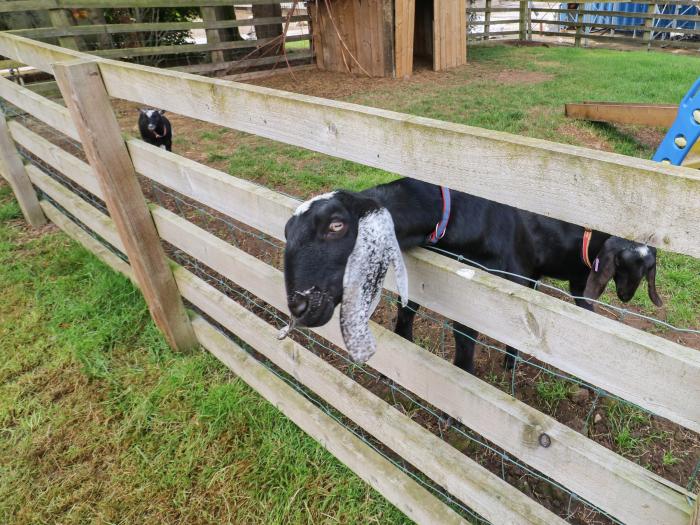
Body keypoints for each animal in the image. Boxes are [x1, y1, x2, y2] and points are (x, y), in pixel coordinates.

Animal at [280, 178, 660, 370]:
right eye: (288, 232)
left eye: (336, 224)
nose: (299, 305)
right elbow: (408, 313)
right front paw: (405, 348)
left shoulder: (490, 290)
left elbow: (471, 346)